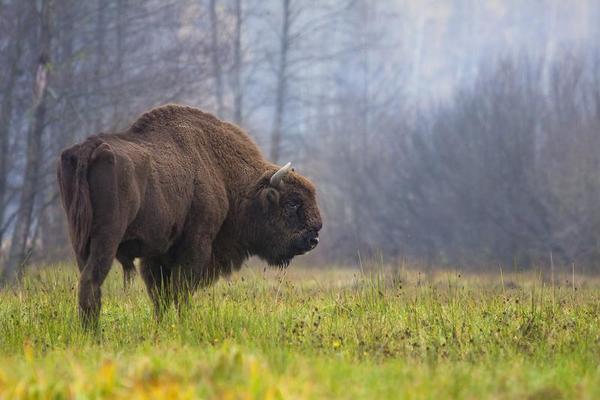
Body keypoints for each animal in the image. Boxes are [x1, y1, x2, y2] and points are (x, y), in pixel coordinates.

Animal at [57, 104, 324, 326]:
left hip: (79, 241)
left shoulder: (156, 255)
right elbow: (181, 291)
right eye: (292, 203)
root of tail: (88, 149)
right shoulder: (195, 245)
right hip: (106, 239)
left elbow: (161, 295)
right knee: (91, 281)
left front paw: (162, 326)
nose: (313, 238)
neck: (223, 174)